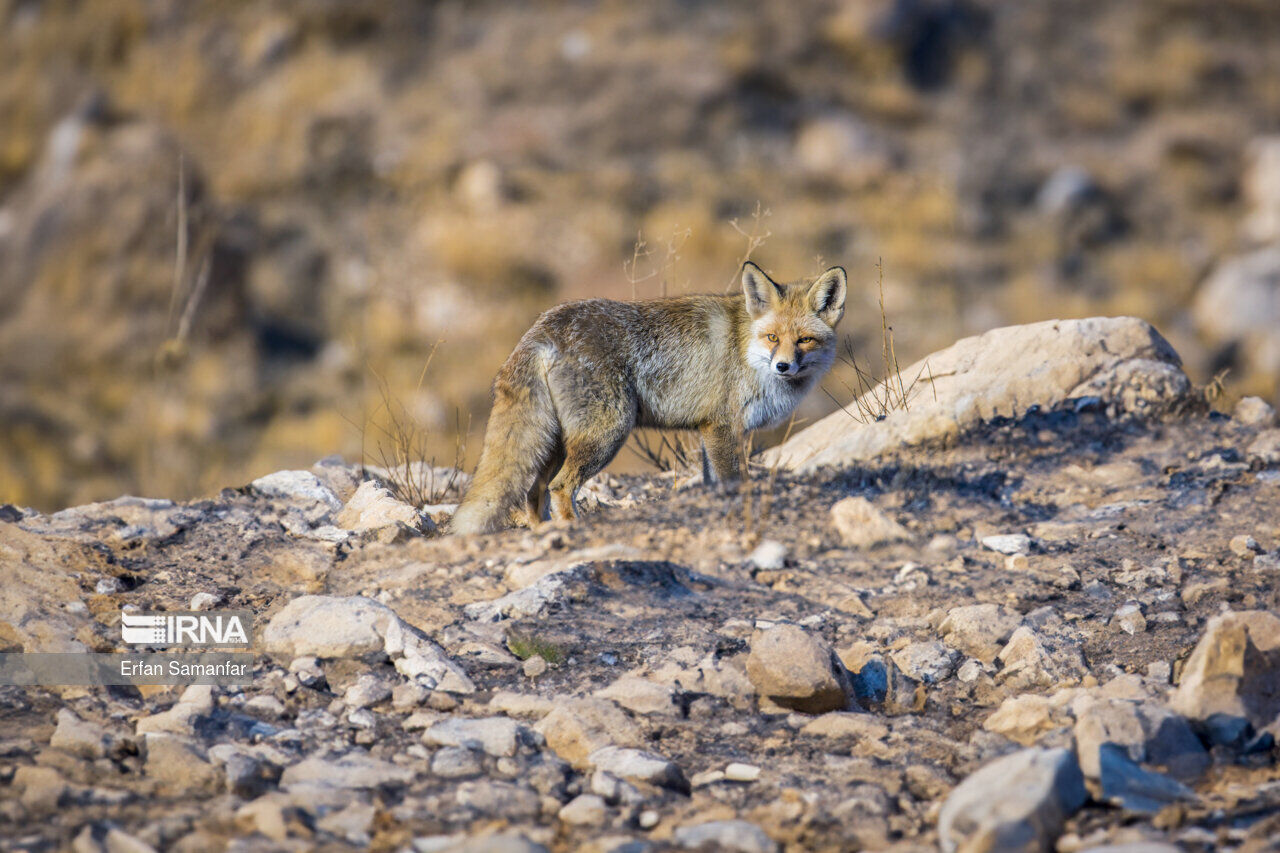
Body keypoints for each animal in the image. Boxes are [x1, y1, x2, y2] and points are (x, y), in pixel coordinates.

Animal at [445, 261, 844, 532]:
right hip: (606, 433)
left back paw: (544, 531)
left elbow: (711, 483)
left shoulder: (707, 432)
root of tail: (544, 324)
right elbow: (735, 482)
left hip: (557, 439)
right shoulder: (723, 428)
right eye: (773, 338)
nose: (783, 366)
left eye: (804, 340)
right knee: (559, 486)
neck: (747, 348)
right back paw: (575, 530)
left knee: (534, 490)